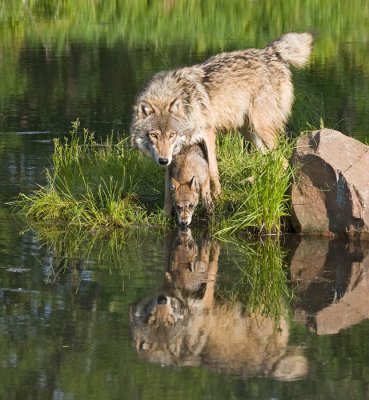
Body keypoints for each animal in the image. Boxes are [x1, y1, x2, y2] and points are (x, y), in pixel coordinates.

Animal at [129, 228, 308, 378]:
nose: (162, 299)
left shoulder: (204, 299)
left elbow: (210, 265)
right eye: (152, 319)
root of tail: (270, 368)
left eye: (169, 321)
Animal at [131, 32, 312, 209]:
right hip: (249, 134)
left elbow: (212, 170)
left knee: (283, 161)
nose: (163, 160)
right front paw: (166, 210)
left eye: (171, 135)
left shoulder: (208, 133)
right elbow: (169, 184)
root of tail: (271, 52)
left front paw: (218, 197)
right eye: (154, 135)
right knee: (273, 160)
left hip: (261, 128)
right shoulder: (173, 154)